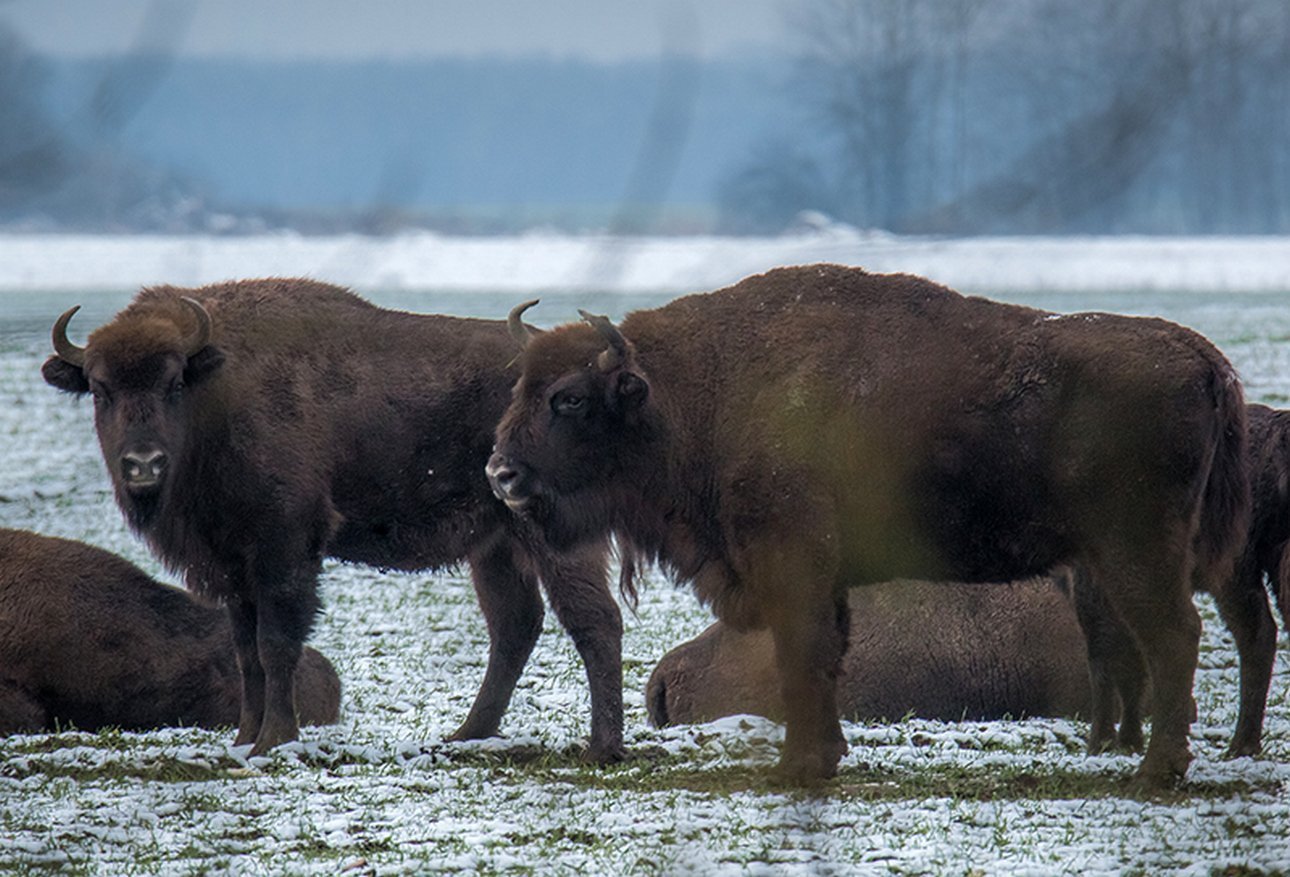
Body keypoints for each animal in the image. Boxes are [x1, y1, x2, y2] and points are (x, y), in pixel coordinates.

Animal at [41, 277, 624, 758]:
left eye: (173, 384)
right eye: (100, 389)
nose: (143, 464)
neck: (219, 389)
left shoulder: (284, 546)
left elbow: (276, 644)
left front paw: (274, 740)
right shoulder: (234, 567)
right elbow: (246, 652)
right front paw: (243, 739)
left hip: (548, 539)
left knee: (594, 620)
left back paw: (601, 748)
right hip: (495, 547)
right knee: (515, 626)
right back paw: (466, 735)